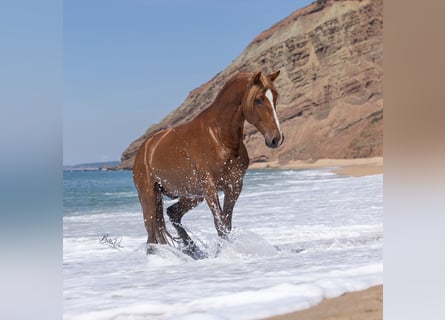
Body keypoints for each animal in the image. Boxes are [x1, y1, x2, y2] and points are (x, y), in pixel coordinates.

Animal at [134, 70, 282, 258]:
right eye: (258, 100)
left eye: (275, 96)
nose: (276, 138)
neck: (219, 137)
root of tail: (145, 148)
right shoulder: (210, 188)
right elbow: (220, 224)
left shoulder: (234, 186)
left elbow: (226, 224)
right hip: (149, 197)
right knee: (151, 237)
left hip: (192, 195)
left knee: (173, 213)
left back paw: (192, 250)